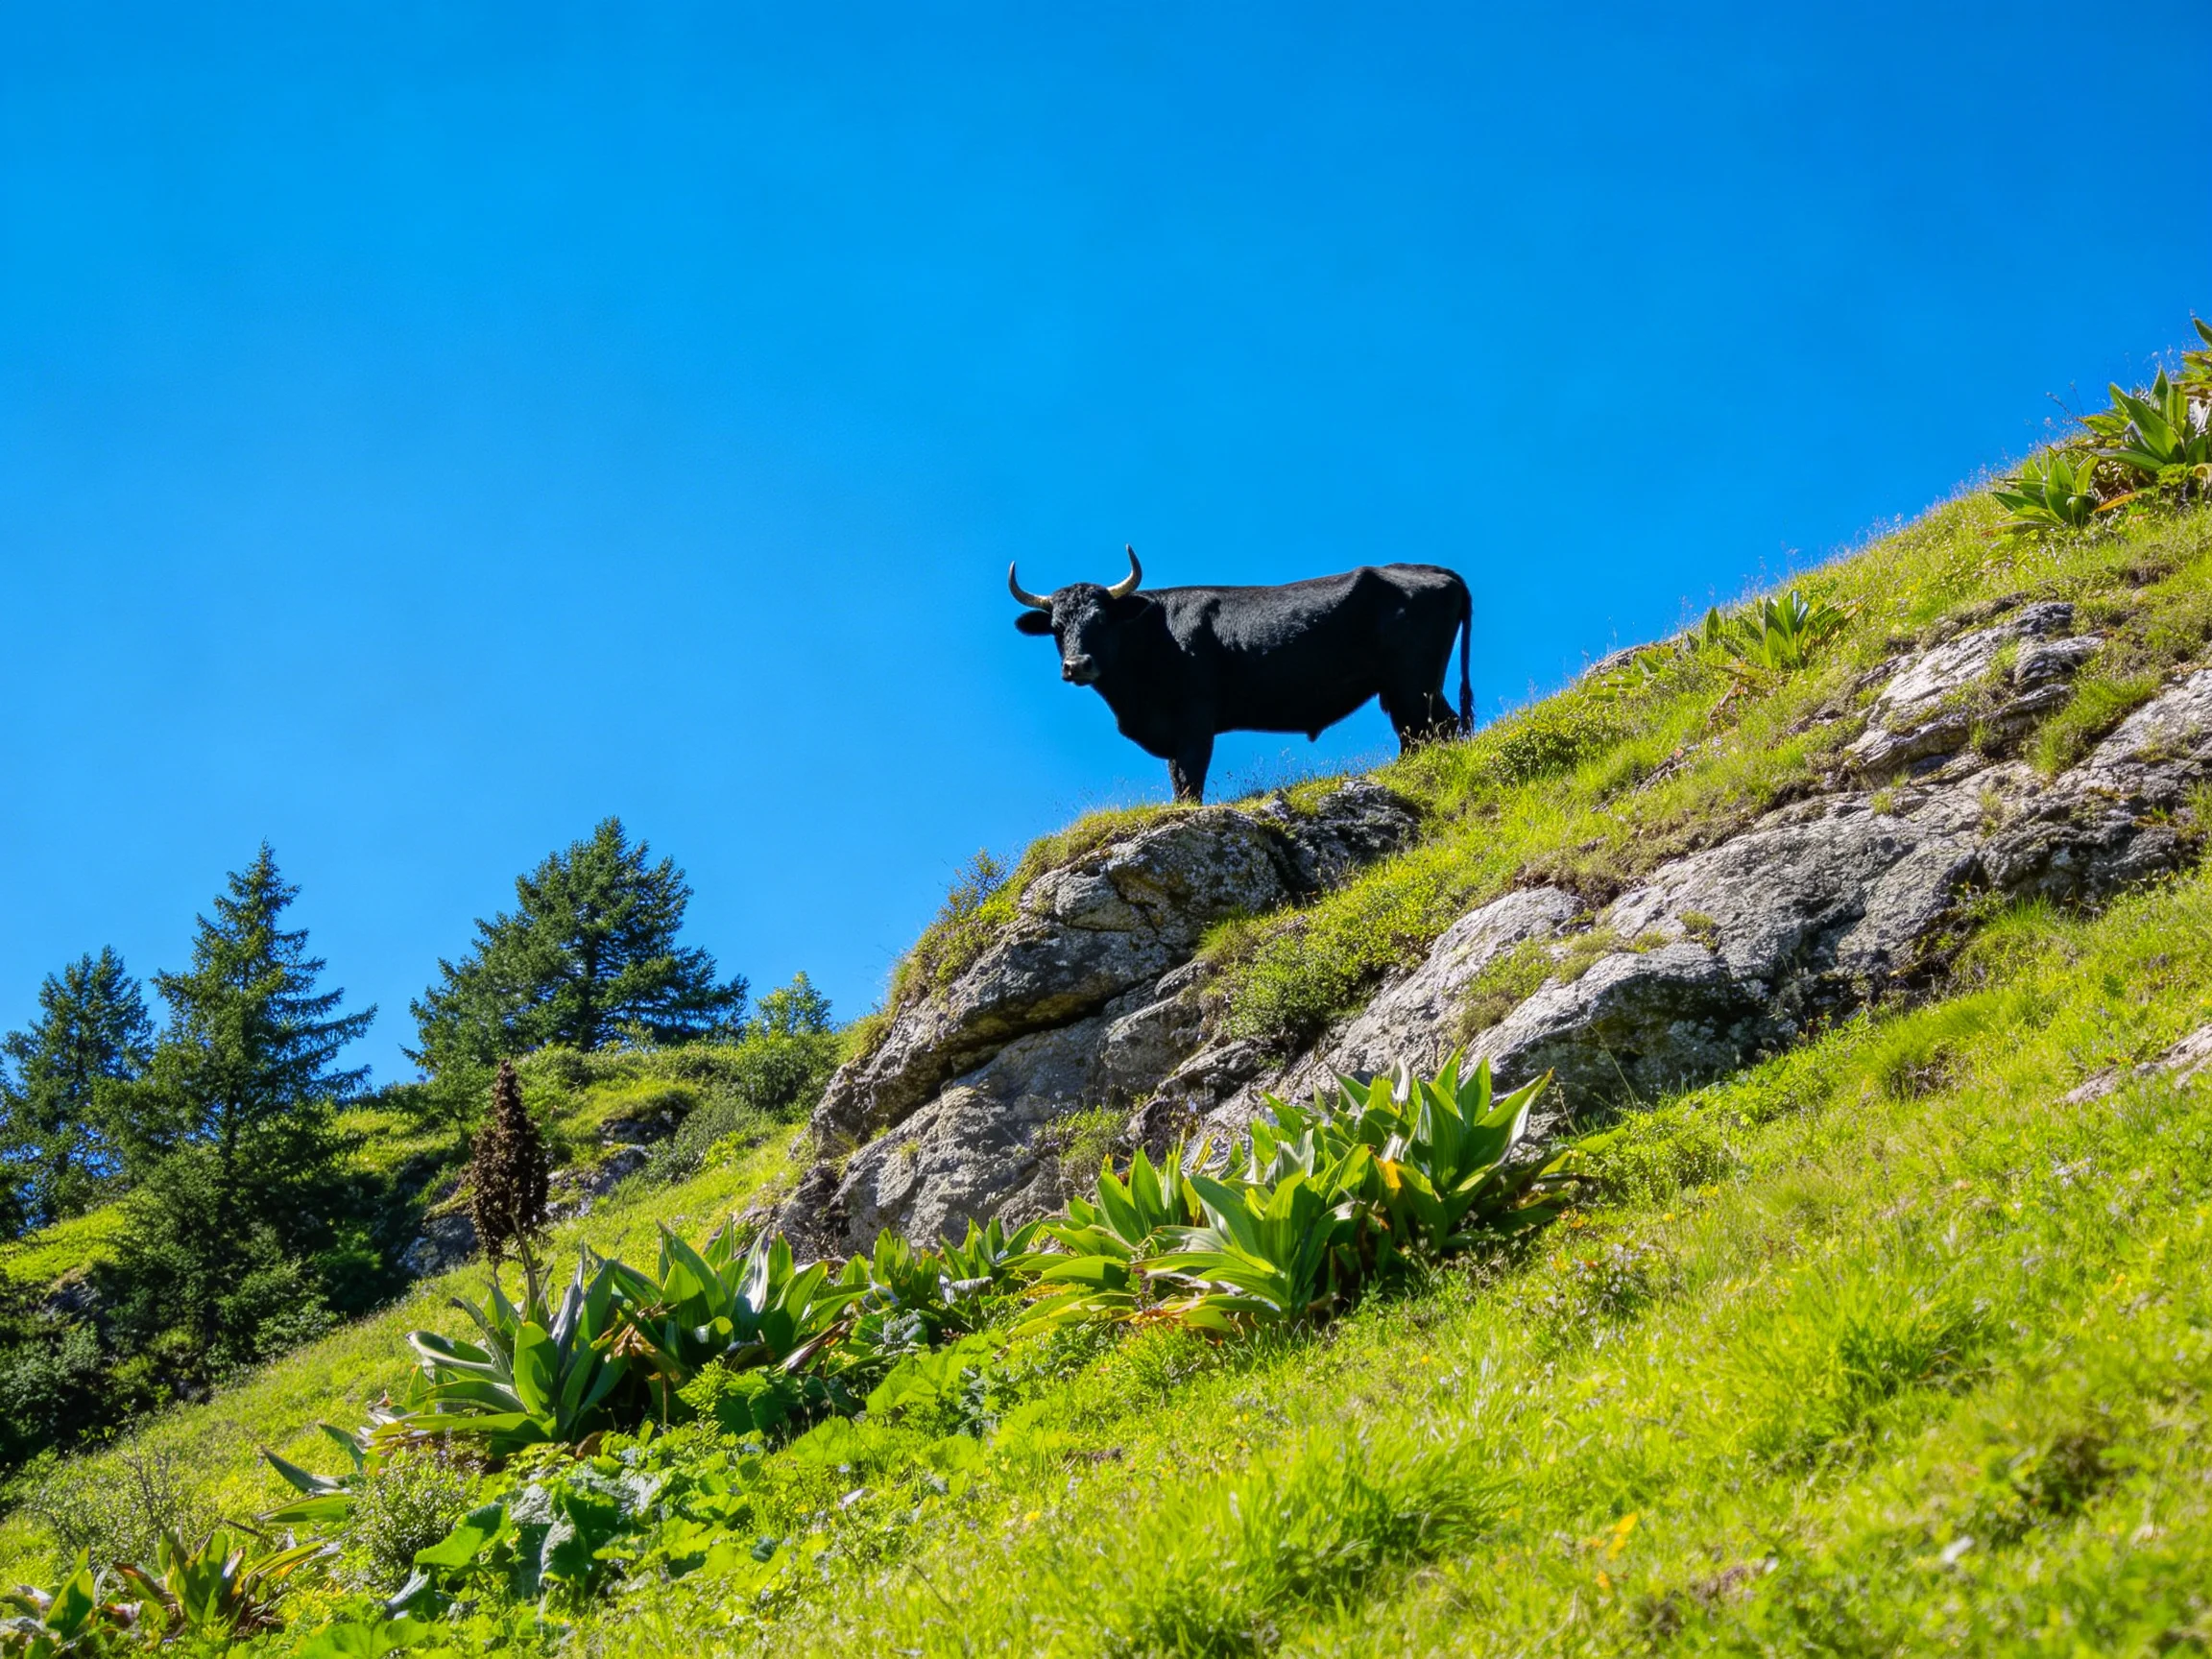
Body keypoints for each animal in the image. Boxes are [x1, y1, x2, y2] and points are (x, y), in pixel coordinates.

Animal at [1009, 546, 1472, 803]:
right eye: (1056, 627)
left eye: (1103, 619)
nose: (1077, 665)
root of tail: (1436, 570)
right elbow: (1177, 778)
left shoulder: (1196, 719)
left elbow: (1189, 780)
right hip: (1401, 688)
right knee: (1422, 733)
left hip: (1414, 683)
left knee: (1434, 729)